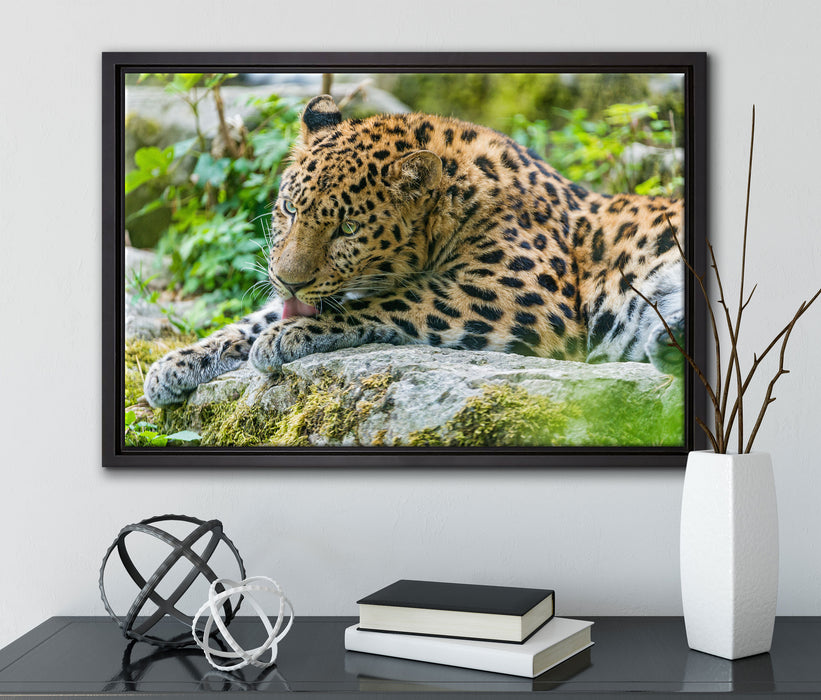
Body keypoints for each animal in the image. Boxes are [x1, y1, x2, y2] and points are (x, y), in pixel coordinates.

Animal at [144, 94, 684, 408]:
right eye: (290, 208)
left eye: (348, 228)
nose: (289, 280)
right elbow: (255, 318)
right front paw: (178, 363)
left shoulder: (525, 297)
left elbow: (396, 301)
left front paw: (288, 336)